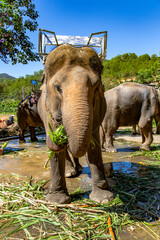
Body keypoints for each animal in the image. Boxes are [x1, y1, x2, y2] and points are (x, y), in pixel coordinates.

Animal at [37, 44, 114, 203]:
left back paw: (77, 169)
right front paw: (57, 200)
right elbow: (56, 152)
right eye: (58, 88)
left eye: (96, 88)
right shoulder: (47, 111)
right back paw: (70, 172)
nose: (57, 139)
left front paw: (103, 198)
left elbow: (94, 144)